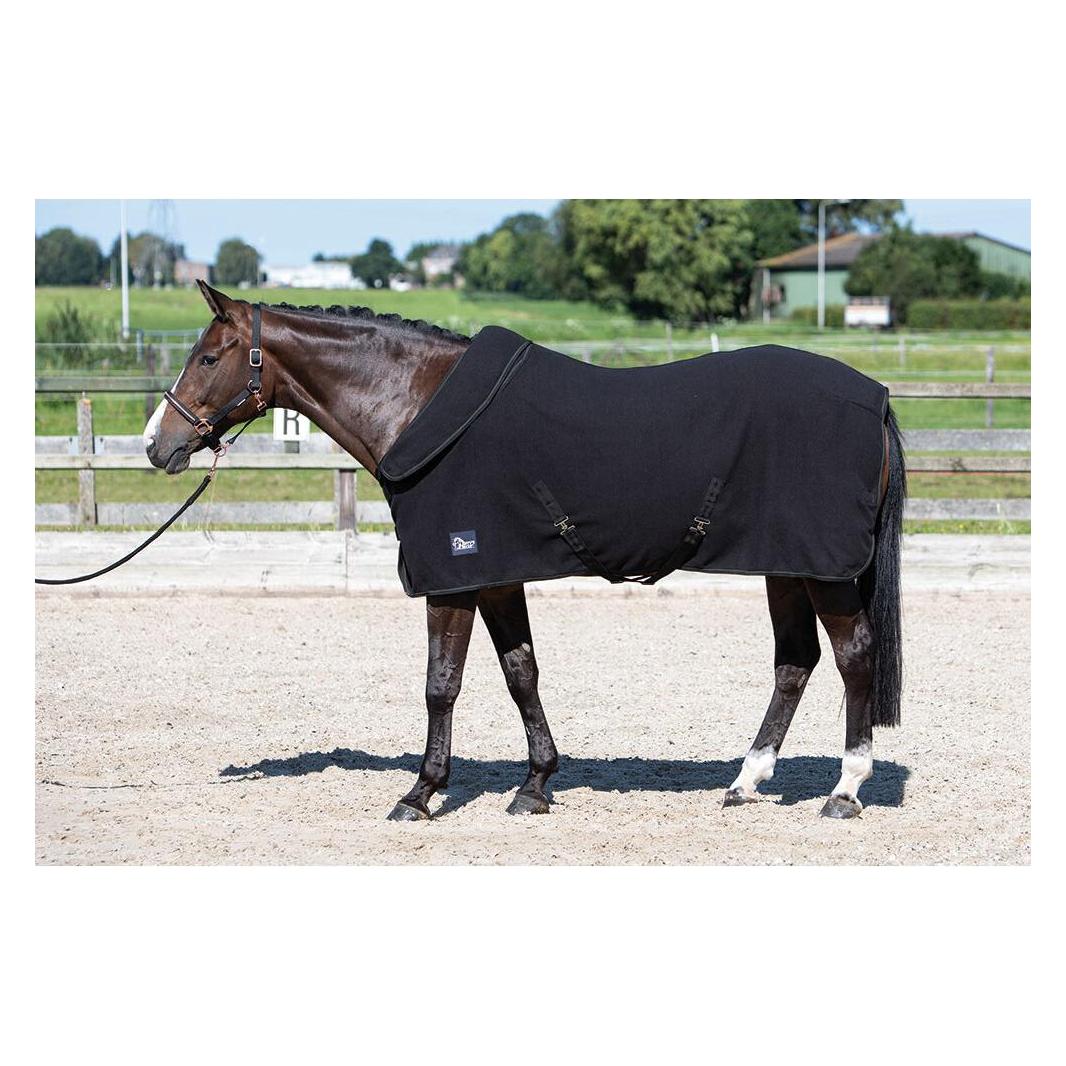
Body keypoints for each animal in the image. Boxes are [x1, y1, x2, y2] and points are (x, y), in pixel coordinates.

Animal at [145, 281, 905, 821]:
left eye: (207, 357)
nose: (157, 444)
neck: (418, 404)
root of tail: (875, 397)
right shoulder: (497, 575)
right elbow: (521, 674)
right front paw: (536, 784)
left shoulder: (454, 577)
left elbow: (441, 684)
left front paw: (420, 793)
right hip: (788, 564)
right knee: (795, 663)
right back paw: (746, 781)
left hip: (823, 571)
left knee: (853, 655)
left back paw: (845, 790)